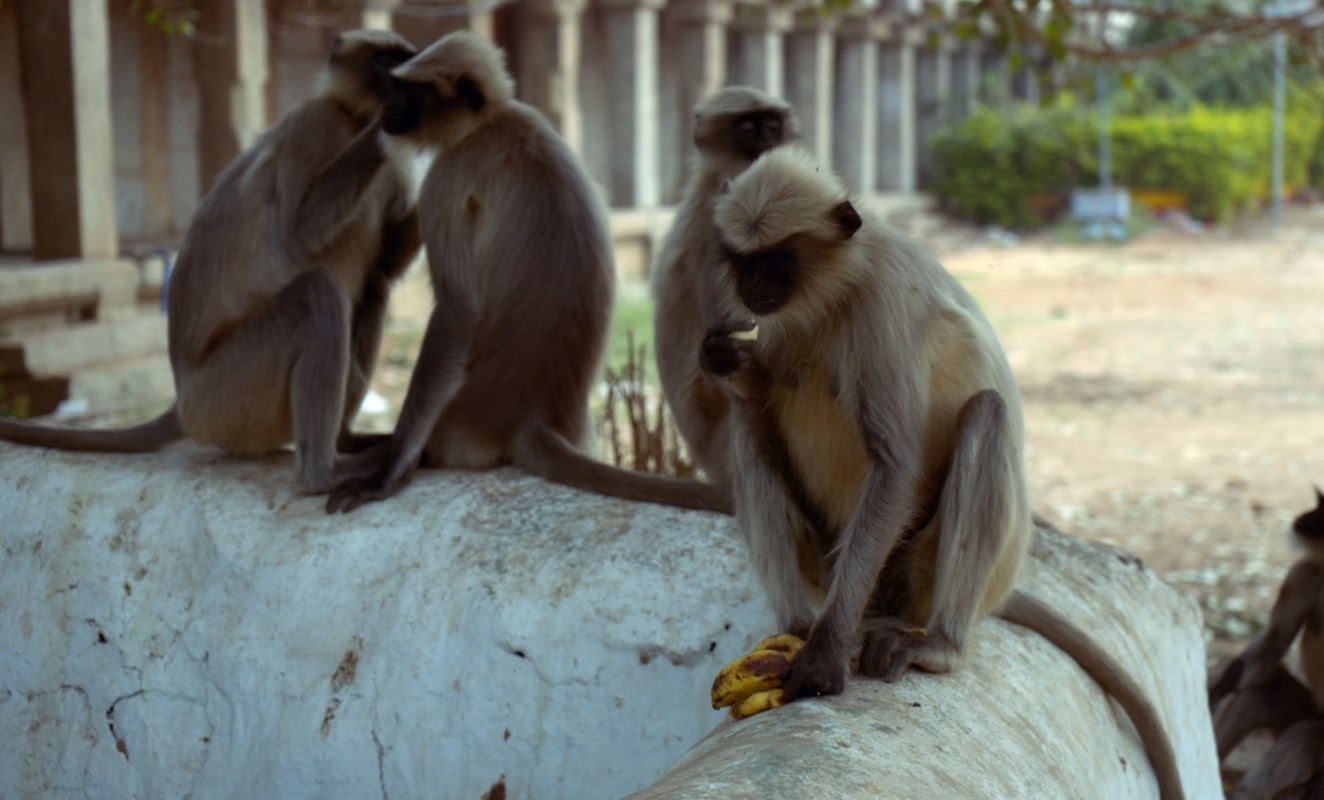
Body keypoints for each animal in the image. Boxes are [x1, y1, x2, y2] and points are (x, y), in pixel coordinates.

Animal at [0, 31, 421, 492]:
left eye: (406, 58)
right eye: (387, 61)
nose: (405, 81)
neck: (351, 119)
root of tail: (183, 400)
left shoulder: (392, 166)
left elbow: (384, 265)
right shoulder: (316, 123)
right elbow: (301, 230)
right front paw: (399, 115)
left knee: (373, 288)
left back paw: (345, 441)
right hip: (226, 395)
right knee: (319, 293)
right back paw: (323, 473)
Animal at [324, 32, 730, 511]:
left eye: (408, 91)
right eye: (394, 88)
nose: (389, 108)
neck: (489, 121)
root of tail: (531, 419)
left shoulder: (447, 175)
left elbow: (457, 310)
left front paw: (388, 471)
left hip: (455, 426)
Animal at [704, 148, 1191, 800]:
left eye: (776, 262)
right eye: (743, 262)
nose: (751, 287)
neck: (838, 287)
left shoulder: (882, 302)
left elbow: (895, 466)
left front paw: (824, 655)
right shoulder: (780, 321)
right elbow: (756, 393)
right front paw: (721, 359)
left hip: (921, 569)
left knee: (986, 414)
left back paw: (938, 646)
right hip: (832, 557)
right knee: (747, 425)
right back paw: (796, 626)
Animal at [1212, 487, 1324, 800]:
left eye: (1322, 508)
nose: (1303, 518)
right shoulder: (1305, 573)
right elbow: (1275, 638)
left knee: (1305, 734)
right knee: (1261, 684)